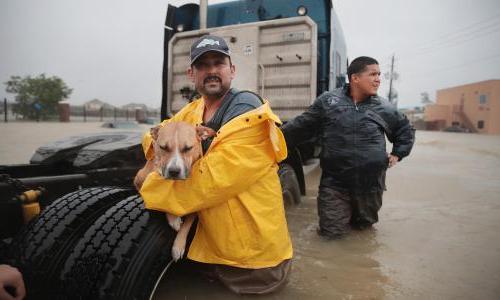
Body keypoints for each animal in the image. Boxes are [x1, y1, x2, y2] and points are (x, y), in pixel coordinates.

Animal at [134, 120, 216, 262]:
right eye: (163, 147)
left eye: (188, 148)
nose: (174, 171)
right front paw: (174, 219)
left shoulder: (196, 207)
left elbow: (187, 224)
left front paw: (178, 246)